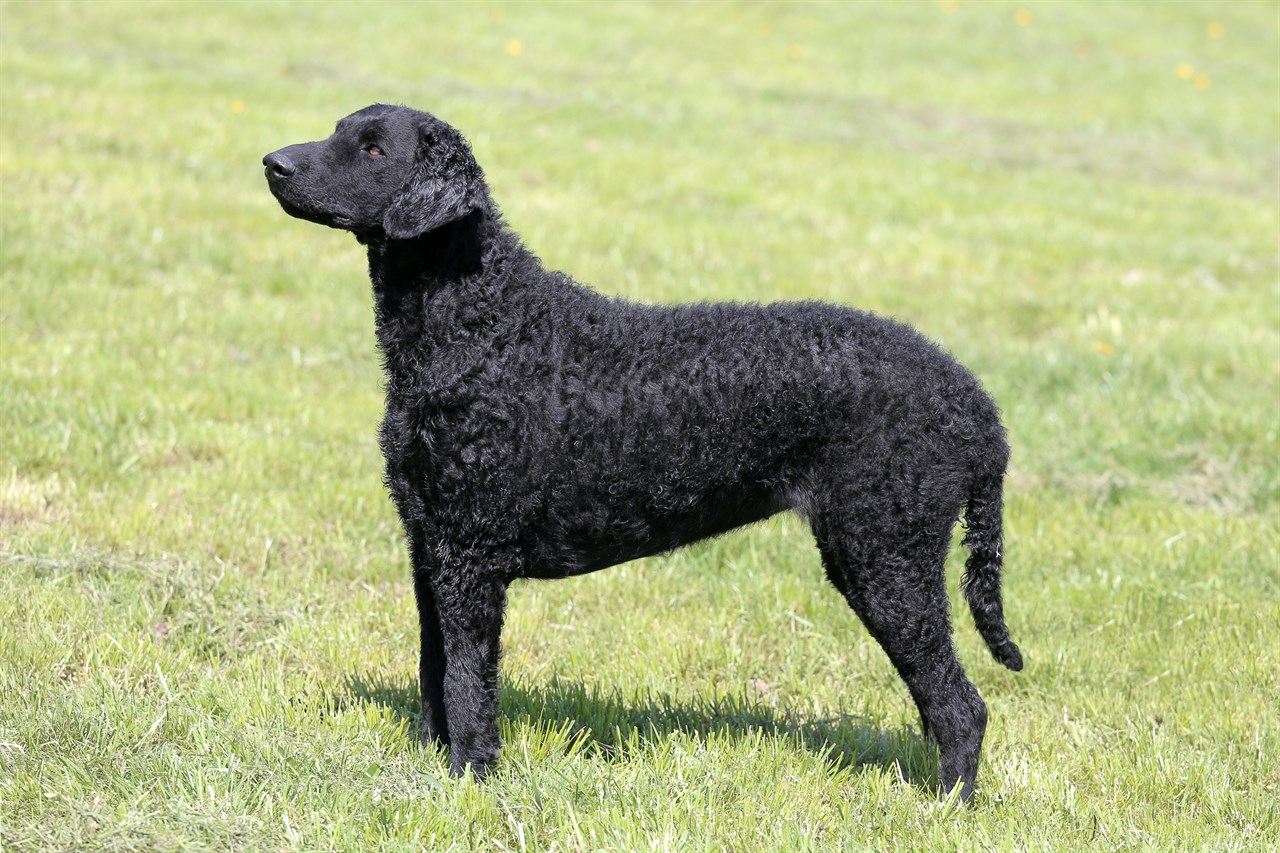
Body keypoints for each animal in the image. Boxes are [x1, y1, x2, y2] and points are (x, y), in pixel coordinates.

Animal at [264, 103, 1024, 799]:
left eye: (371, 148)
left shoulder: (470, 556)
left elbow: (468, 681)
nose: (273, 162)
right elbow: (434, 672)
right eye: (339, 131)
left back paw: (948, 808)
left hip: (885, 555)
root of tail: (973, 399)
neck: (486, 325)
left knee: (962, 707)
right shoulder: (429, 545)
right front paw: (431, 766)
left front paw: (472, 779)